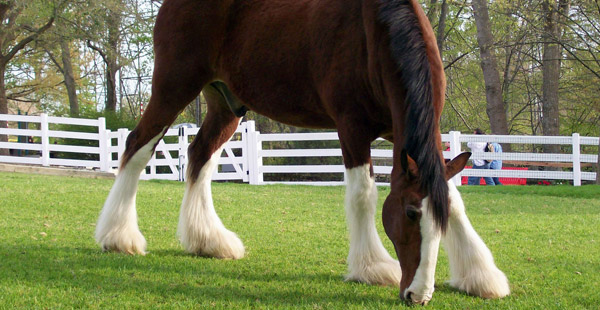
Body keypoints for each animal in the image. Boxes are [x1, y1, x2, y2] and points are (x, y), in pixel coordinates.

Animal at [96, 0, 508, 306]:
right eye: (409, 214)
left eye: (438, 223)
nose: (417, 295)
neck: (374, 34)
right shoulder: (352, 127)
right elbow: (363, 195)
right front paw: (372, 267)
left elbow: (452, 198)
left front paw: (480, 276)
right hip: (174, 84)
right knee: (137, 148)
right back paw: (119, 237)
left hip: (226, 103)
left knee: (199, 156)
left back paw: (208, 241)